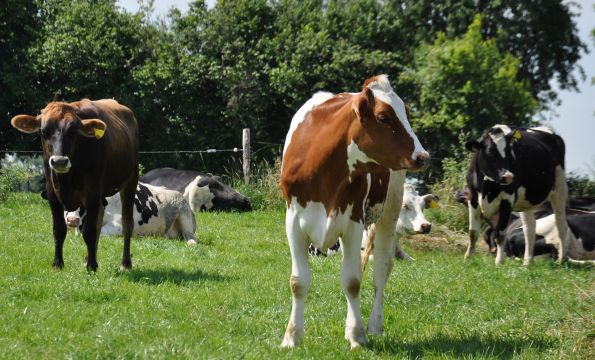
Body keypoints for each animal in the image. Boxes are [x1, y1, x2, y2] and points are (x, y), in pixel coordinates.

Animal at [11, 100, 139, 272]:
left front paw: (92, 266)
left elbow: (89, 231)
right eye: (44, 132)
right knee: (99, 220)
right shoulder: (52, 193)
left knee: (127, 222)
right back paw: (87, 258)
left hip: (131, 181)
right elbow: (59, 229)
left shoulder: (92, 192)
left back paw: (125, 263)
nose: (59, 161)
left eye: (73, 132)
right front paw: (58, 263)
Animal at [280, 74, 428, 348]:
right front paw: (291, 337)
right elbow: (298, 282)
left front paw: (357, 336)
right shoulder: (293, 221)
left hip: (390, 210)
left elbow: (352, 281)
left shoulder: (353, 222)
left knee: (381, 269)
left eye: (407, 113)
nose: (423, 156)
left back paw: (374, 325)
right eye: (384, 117)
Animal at [464, 126, 572, 264]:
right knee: (530, 227)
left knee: (561, 225)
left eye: (511, 153)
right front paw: (467, 258)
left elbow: (500, 233)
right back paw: (527, 262)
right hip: (527, 201)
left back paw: (561, 260)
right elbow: (473, 232)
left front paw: (499, 262)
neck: (488, 188)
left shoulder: (507, 200)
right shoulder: (473, 199)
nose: (508, 176)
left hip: (560, 188)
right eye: (490, 152)